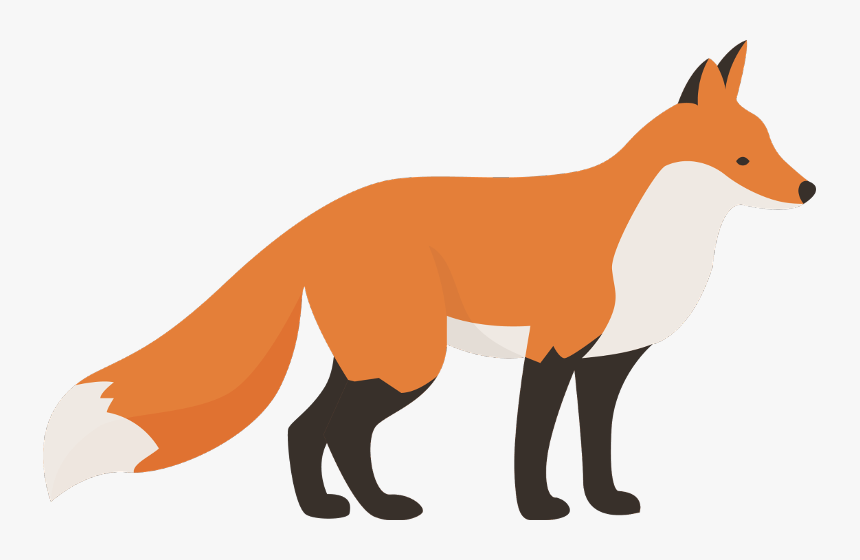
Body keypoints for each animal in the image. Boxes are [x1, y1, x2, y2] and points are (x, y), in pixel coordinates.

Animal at [44, 41, 815, 520]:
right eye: (744, 159)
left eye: (772, 144)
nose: (809, 188)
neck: (655, 239)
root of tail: (318, 217)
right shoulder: (553, 350)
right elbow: (530, 442)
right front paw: (538, 511)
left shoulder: (608, 366)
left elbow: (596, 447)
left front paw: (605, 504)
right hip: (408, 364)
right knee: (330, 430)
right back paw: (372, 511)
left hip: (374, 360)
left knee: (306, 428)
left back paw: (334, 510)